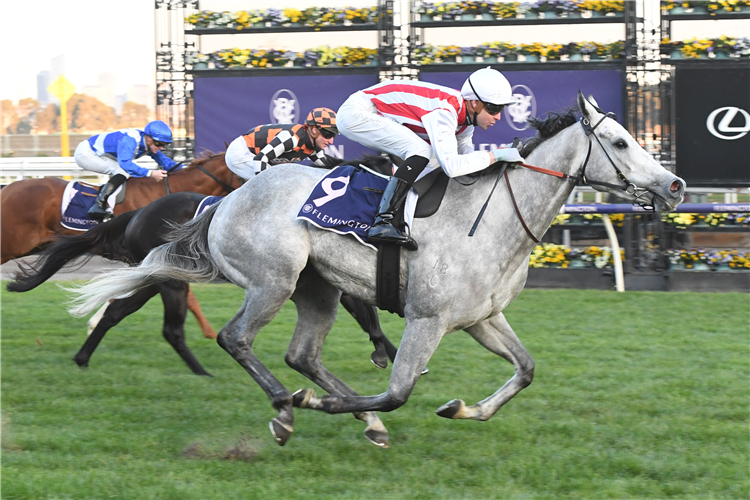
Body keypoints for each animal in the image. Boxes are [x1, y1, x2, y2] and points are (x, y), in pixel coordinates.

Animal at [67, 94, 692, 450]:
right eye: (619, 142)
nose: (675, 184)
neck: (489, 219)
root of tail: (224, 201)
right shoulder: (427, 319)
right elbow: (396, 391)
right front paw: (321, 407)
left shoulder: (482, 317)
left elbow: (526, 370)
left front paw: (463, 408)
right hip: (274, 280)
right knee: (235, 338)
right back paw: (287, 409)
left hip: (316, 289)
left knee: (303, 355)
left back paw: (344, 416)